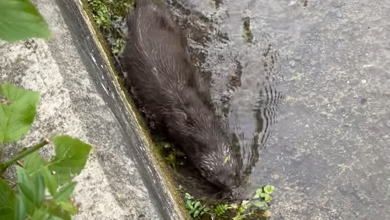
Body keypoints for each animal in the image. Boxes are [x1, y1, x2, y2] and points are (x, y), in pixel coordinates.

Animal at [121, 0, 241, 194]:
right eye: (218, 181)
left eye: (235, 173)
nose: (234, 188)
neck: (195, 118)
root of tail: (147, 7)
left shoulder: (202, 90)